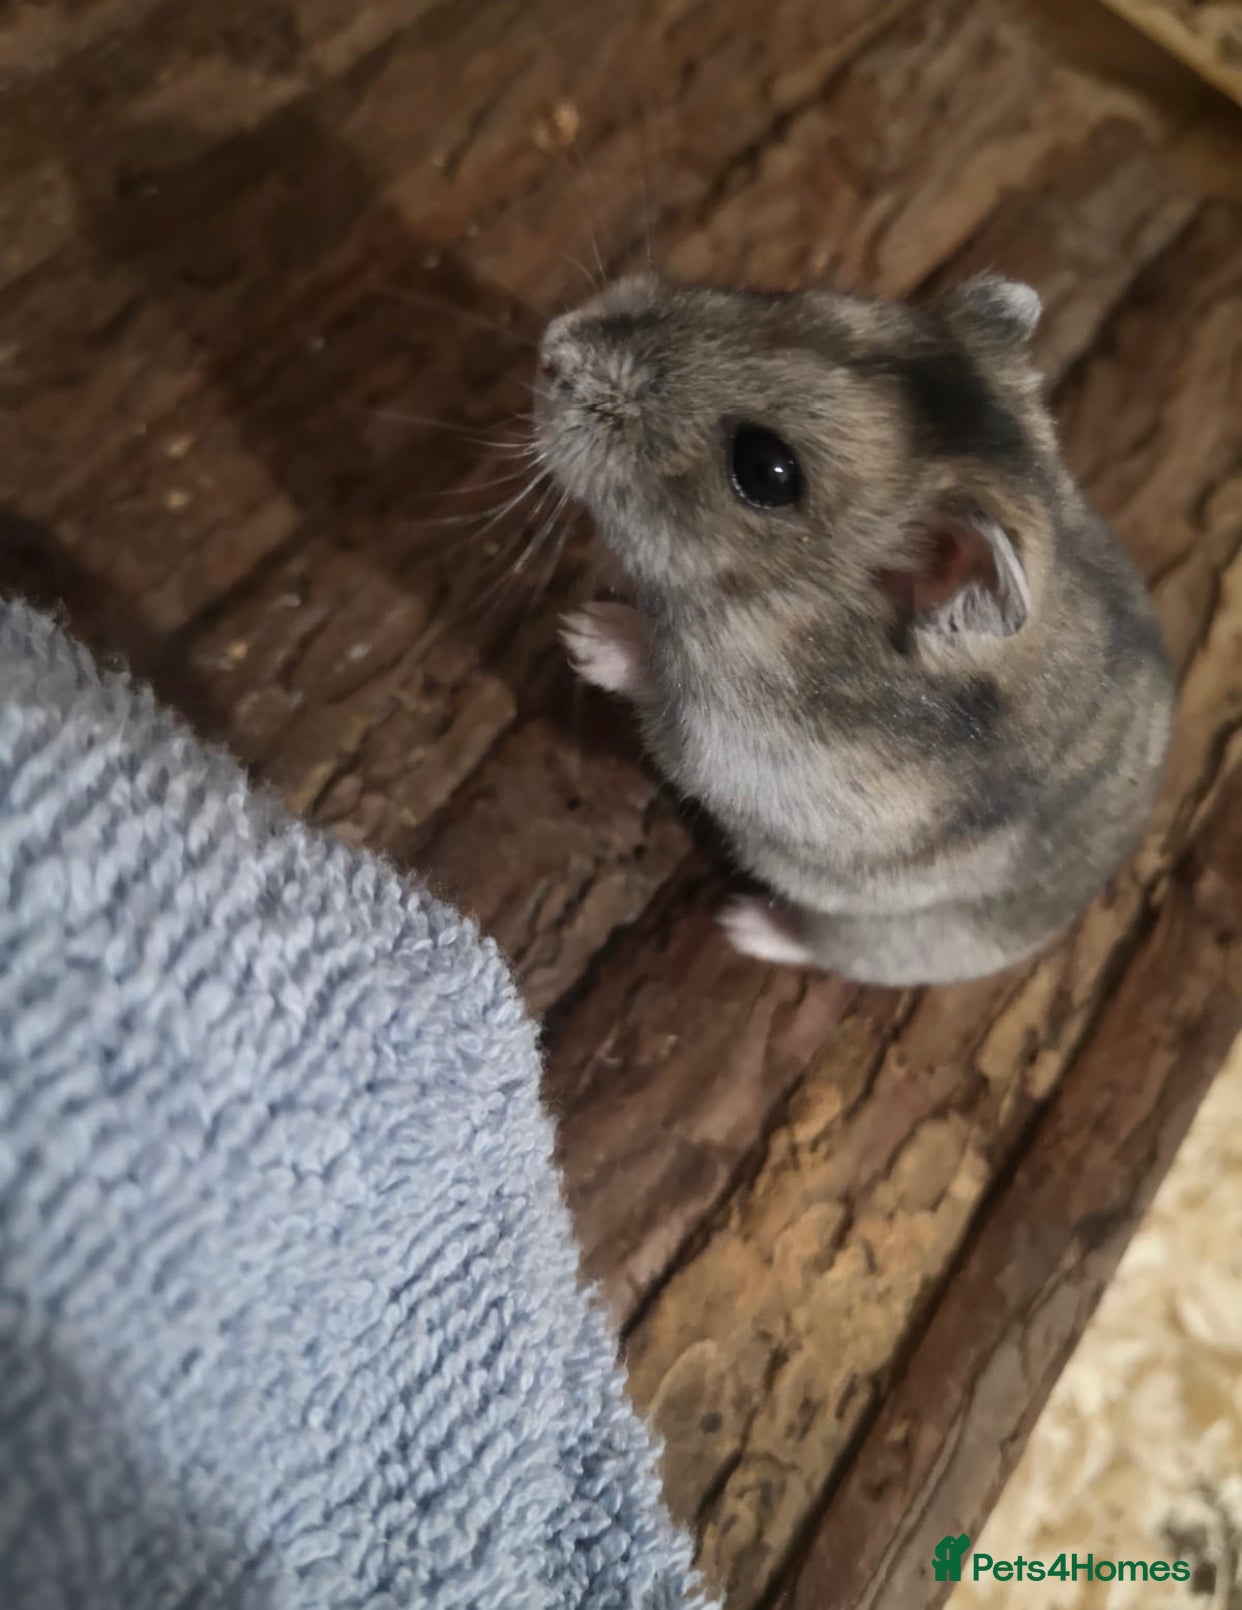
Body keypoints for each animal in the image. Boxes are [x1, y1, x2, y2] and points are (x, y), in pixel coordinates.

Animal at [532, 272, 1174, 986]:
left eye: (765, 470)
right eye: (787, 302)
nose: (550, 348)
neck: (778, 603)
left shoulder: (723, 744)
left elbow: (657, 677)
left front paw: (579, 629)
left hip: (874, 935)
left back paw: (744, 923)